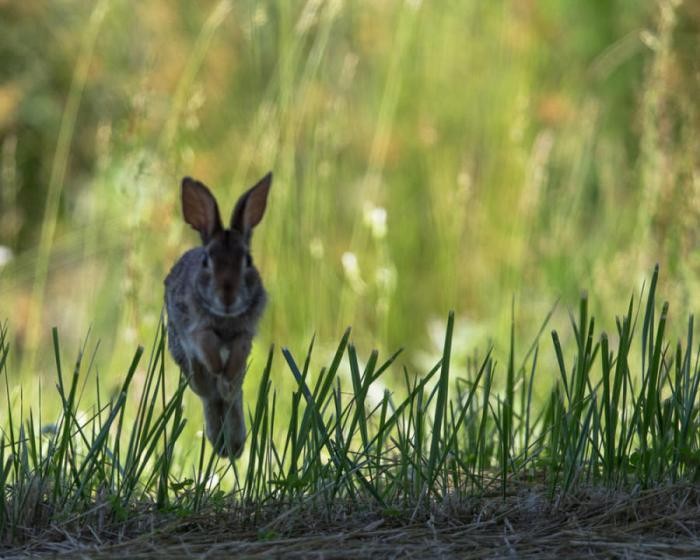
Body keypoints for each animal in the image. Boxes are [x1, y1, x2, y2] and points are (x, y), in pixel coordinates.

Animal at [165, 173, 272, 458]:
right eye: (207, 261)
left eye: (247, 261)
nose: (227, 296)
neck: (225, 317)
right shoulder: (196, 330)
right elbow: (208, 346)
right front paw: (217, 371)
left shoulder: (245, 333)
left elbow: (237, 353)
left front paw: (226, 379)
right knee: (202, 389)